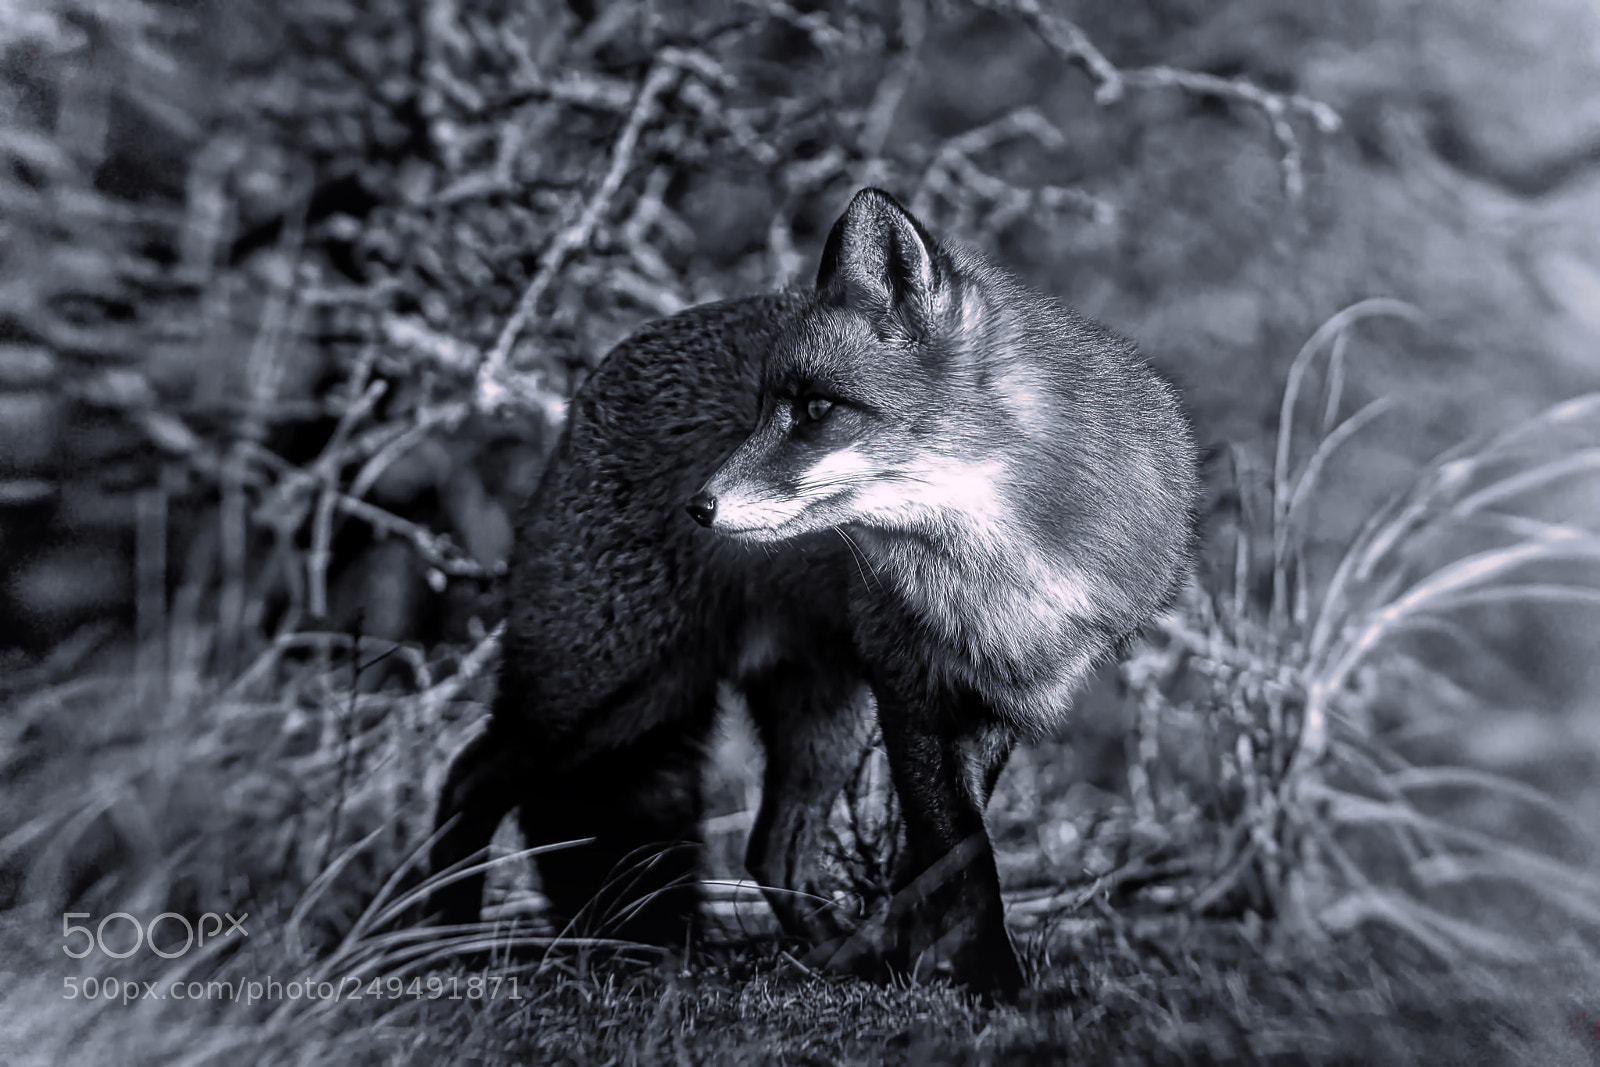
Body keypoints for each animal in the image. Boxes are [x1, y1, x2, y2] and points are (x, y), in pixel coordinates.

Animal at [429, 188, 1200, 997]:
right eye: (761, 408)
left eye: (816, 409)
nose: (697, 506)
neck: (1003, 569)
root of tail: (590, 388)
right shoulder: (909, 683)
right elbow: (964, 858)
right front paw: (995, 981)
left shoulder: (999, 694)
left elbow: (929, 862)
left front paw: (921, 964)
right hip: (603, 687)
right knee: (471, 776)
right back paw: (437, 938)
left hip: (803, 712)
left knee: (772, 845)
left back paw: (841, 958)